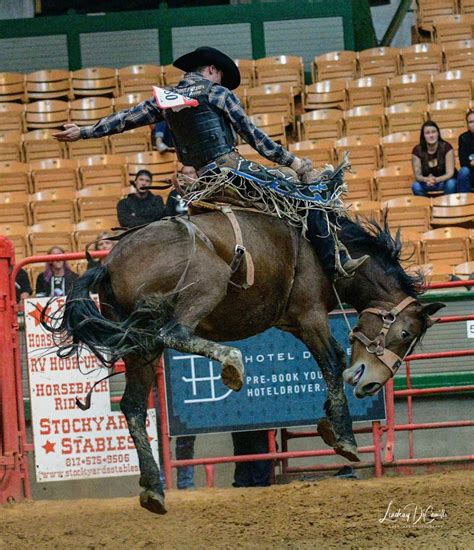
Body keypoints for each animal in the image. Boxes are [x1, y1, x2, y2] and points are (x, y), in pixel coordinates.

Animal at [41, 208, 444, 516]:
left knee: (134, 406)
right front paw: (344, 436)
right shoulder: (310, 314)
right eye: (405, 334)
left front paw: (330, 423)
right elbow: (332, 360)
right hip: (202, 287)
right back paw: (232, 364)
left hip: (137, 345)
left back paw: (153, 488)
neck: (331, 251)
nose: (373, 384)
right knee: (173, 332)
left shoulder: (292, 321)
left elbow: (330, 362)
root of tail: (109, 263)